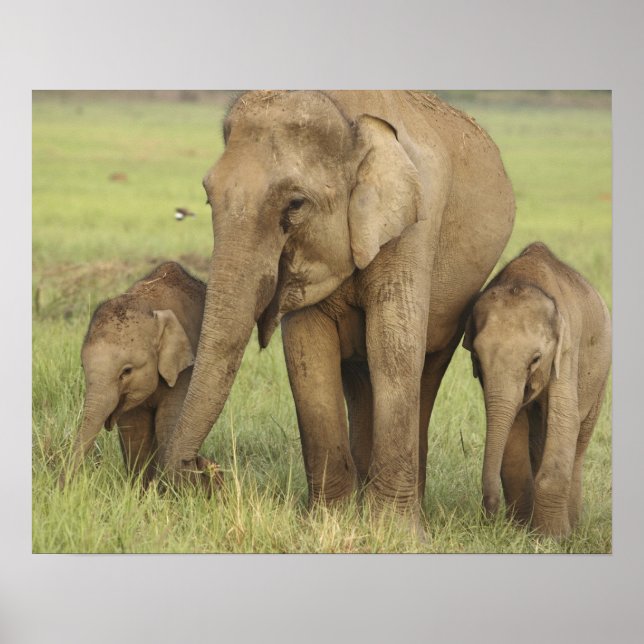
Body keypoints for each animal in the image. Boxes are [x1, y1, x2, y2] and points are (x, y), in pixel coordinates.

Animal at [61, 262, 221, 488]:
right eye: (83, 367)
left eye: (126, 371)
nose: (61, 487)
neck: (149, 305)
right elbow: (135, 429)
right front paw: (140, 491)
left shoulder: (185, 369)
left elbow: (168, 421)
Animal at [160, 90, 515, 522]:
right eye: (208, 198)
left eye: (296, 204)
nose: (204, 470)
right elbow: (307, 354)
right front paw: (327, 521)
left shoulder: (415, 227)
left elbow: (394, 349)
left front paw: (393, 530)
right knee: (361, 380)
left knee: (425, 370)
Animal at [462, 242, 611, 538]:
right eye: (477, 359)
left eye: (535, 359)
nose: (488, 517)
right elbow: (512, 425)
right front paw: (520, 532)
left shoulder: (566, 352)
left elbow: (565, 420)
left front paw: (551, 539)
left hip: (601, 375)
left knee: (579, 439)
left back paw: (573, 527)